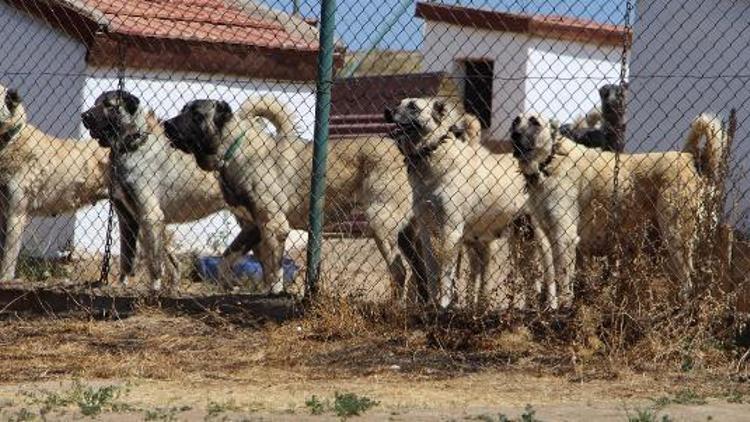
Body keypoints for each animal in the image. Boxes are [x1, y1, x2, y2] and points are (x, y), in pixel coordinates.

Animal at [81, 90, 238, 290]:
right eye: (95, 103)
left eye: (108, 105)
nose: (84, 116)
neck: (132, 146)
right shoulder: (127, 217)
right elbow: (127, 258)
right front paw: (122, 285)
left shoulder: (151, 216)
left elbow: (154, 262)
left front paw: (154, 288)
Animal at [516, 110, 724, 304]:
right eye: (516, 120)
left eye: (534, 122)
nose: (514, 131)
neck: (551, 159)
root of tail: (689, 157)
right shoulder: (547, 236)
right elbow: (551, 275)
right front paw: (550, 306)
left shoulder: (564, 237)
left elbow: (565, 281)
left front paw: (563, 308)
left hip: (676, 233)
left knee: (687, 278)